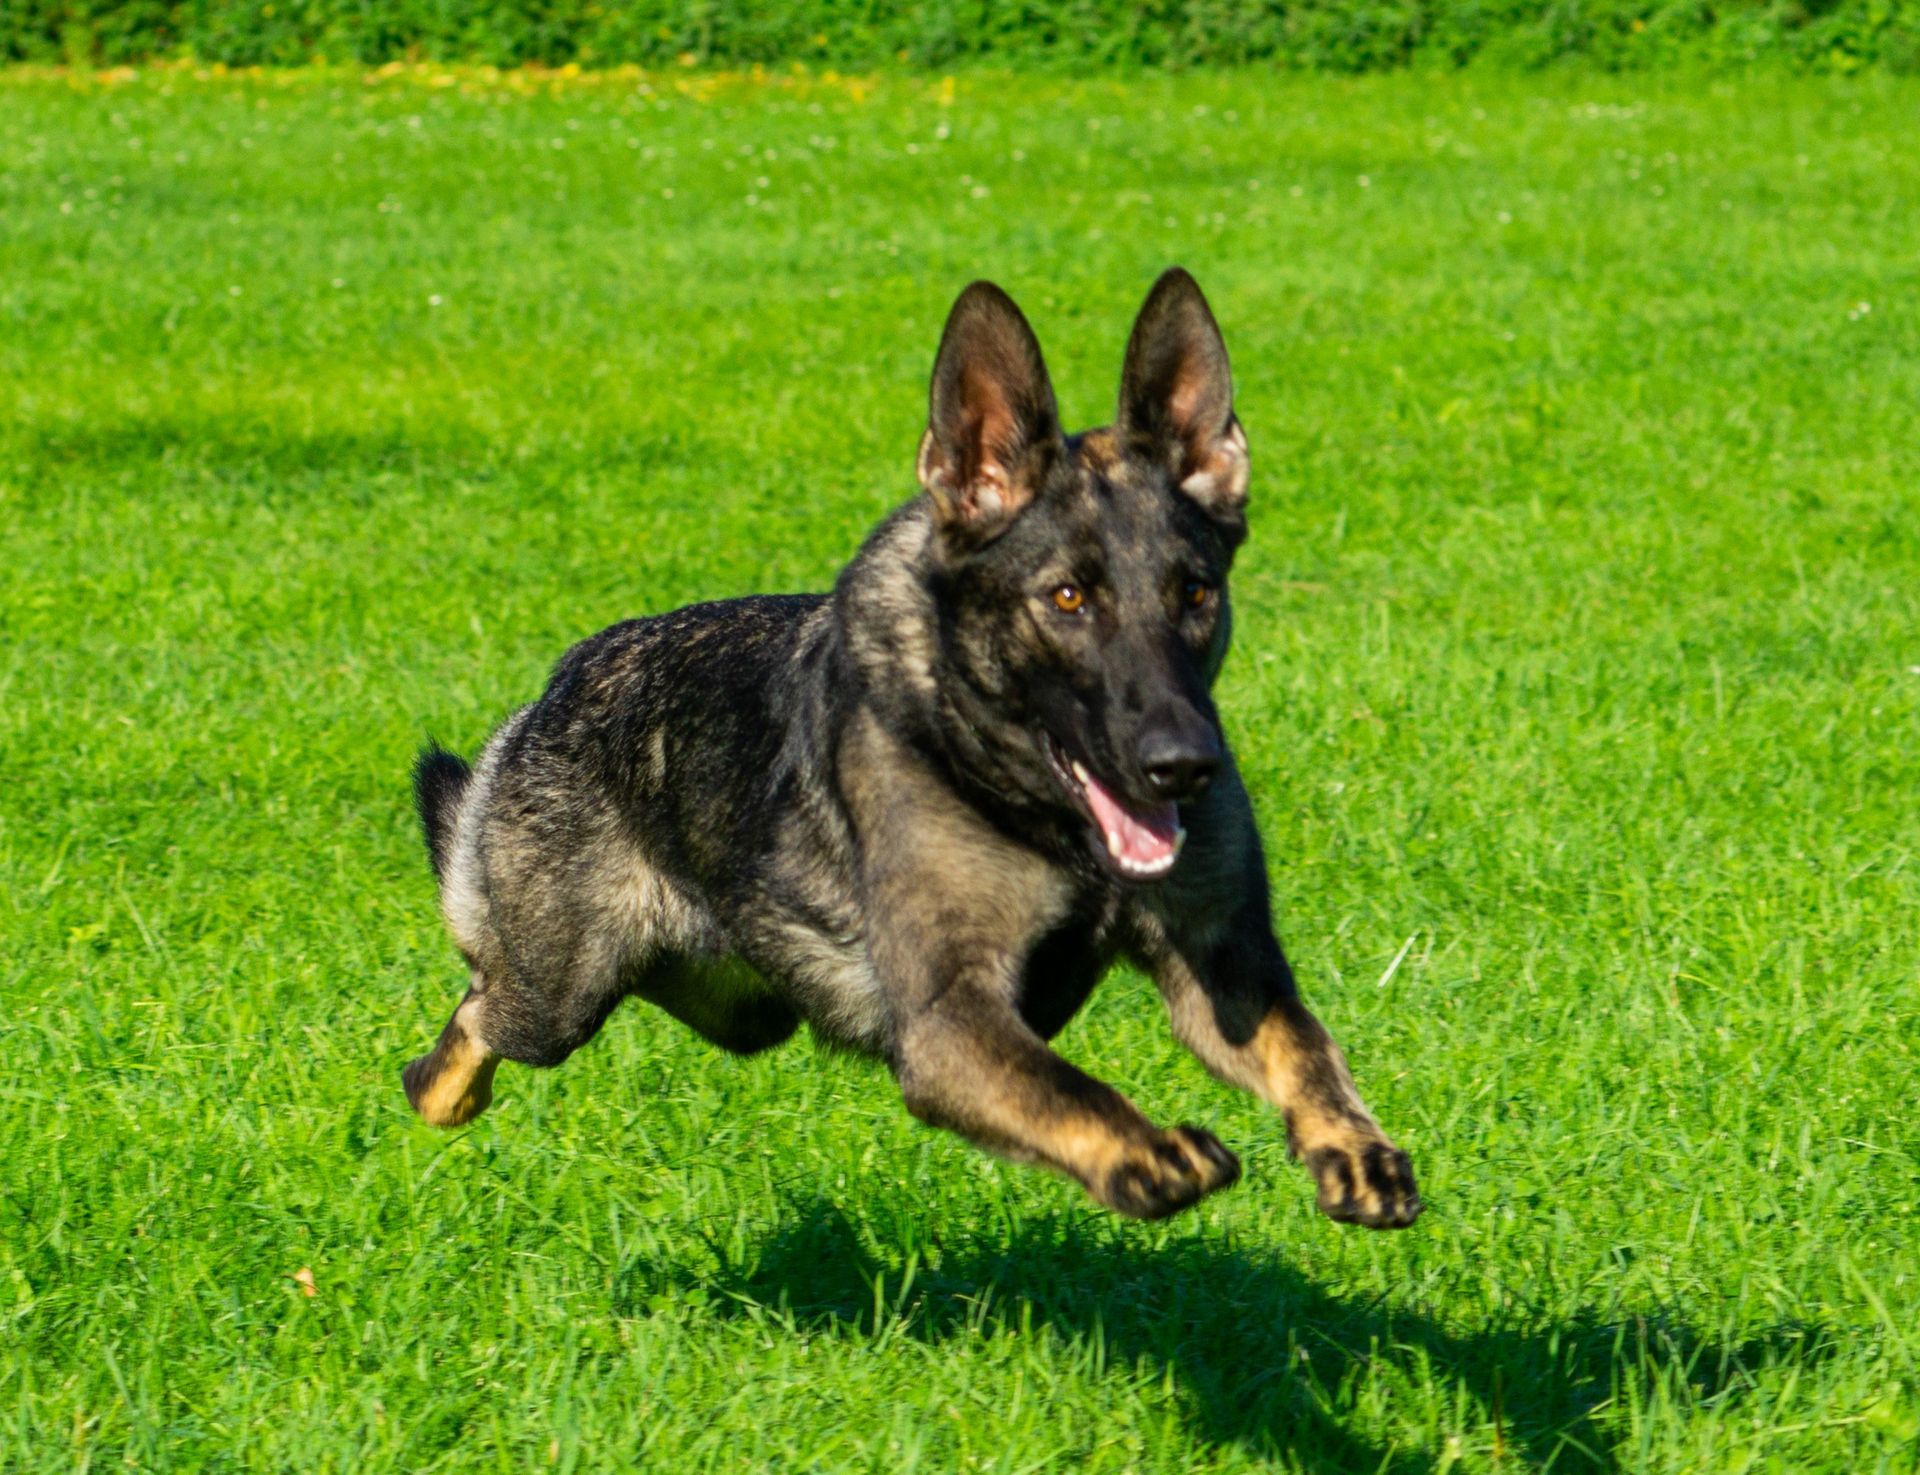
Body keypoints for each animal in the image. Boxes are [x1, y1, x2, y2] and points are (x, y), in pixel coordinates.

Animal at [402, 268, 1421, 1227]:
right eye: (1067, 598)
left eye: (1195, 592)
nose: (1183, 763)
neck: (1051, 821)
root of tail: (555, 687)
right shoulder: (948, 1022)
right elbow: (1064, 1087)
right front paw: (1146, 1152)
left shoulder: (1222, 965)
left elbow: (1303, 1044)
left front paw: (1352, 1146)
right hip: (559, 993)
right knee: (471, 1019)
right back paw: (443, 1094)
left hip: (730, 1005)